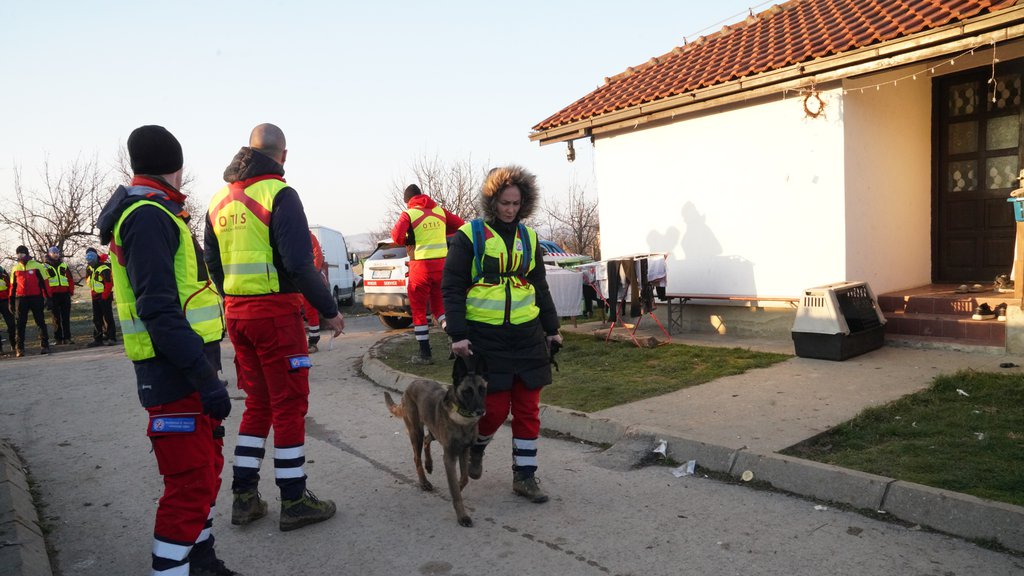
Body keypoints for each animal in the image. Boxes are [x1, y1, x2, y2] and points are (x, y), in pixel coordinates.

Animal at [387, 354, 491, 524]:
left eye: (482, 389)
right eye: (467, 391)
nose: (480, 411)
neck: (462, 420)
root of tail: (411, 384)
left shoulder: (464, 451)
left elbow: (464, 478)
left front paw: (459, 487)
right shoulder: (449, 458)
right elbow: (455, 490)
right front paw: (462, 515)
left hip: (434, 433)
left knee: (427, 440)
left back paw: (429, 464)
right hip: (416, 432)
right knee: (417, 456)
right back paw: (424, 482)